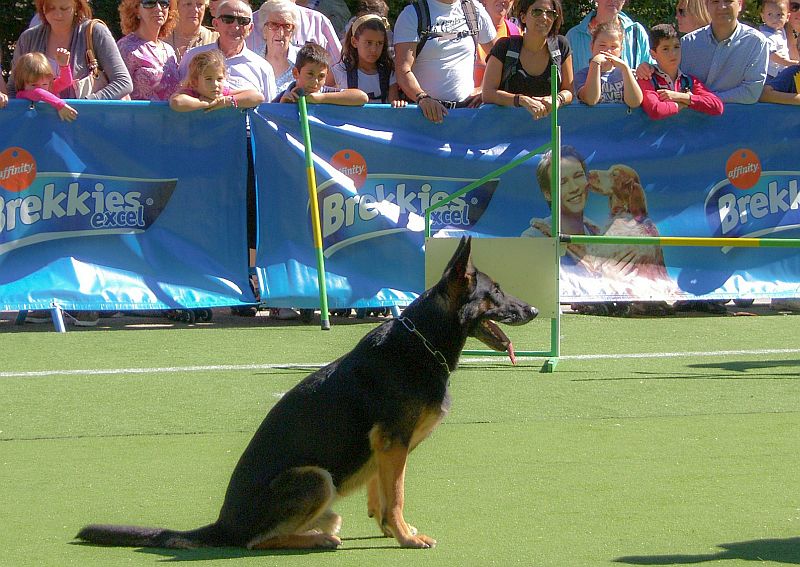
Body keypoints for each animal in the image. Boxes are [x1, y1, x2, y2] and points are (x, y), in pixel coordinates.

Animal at [76, 239, 536, 552]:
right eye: (496, 293)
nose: (532, 310)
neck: (422, 340)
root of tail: (222, 524)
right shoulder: (394, 442)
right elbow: (397, 497)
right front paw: (405, 537)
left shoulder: (384, 449)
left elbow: (382, 494)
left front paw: (390, 530)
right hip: (315, 477)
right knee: (254, 543)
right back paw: (316, 540)